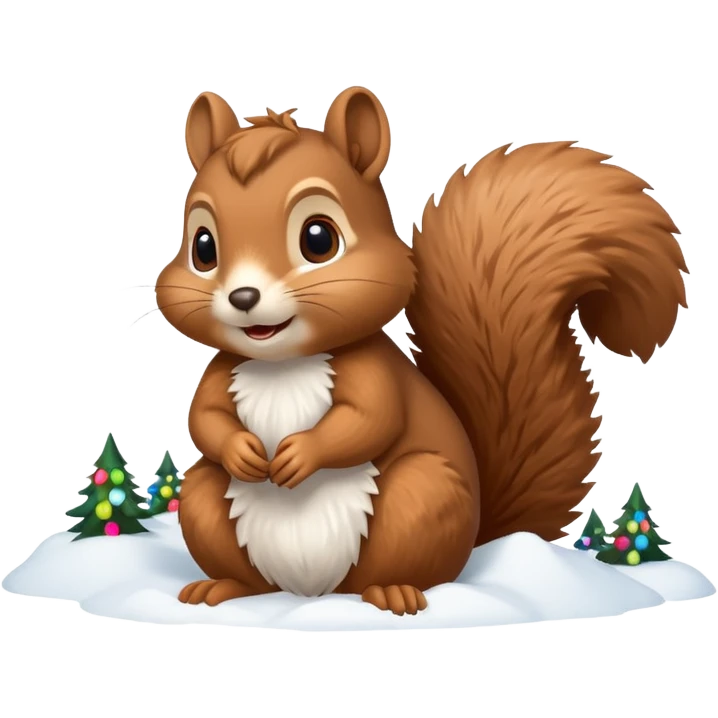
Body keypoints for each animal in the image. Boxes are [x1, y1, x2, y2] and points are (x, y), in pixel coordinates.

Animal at [157, 86, 688, 616]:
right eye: (202, 247)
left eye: (319, 238)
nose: (243, 297)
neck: (283, 364)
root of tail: (312, 592)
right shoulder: (223, 371)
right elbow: (204, 418)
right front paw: (242, 451)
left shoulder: (372, 370)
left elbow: (369, 420)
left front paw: (300, 454)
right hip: (207, 503)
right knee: (232, 542)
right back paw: (221, 588)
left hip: (424, 496)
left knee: (405, 568)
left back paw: (394, 592)